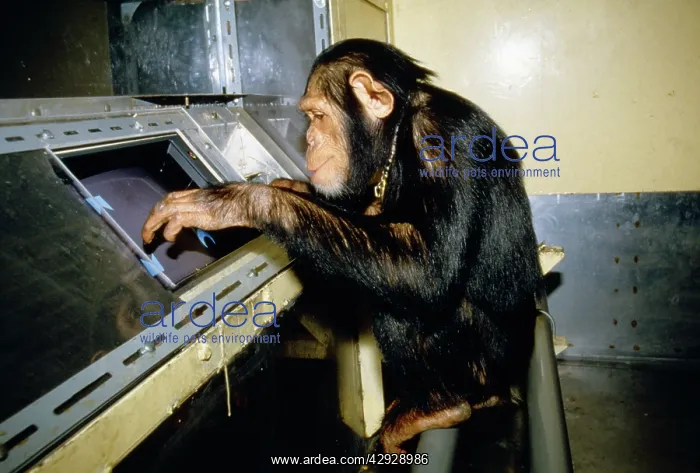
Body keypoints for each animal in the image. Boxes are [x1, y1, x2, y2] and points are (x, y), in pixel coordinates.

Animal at [141, 38, 542, 457]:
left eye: (318, 116)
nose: (309, 141)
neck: (396, 133)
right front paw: (290, 188)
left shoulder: (440, 140)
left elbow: (428, 269)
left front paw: (244, 201)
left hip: (485, 364)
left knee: (403, 308)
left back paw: (441, 406)